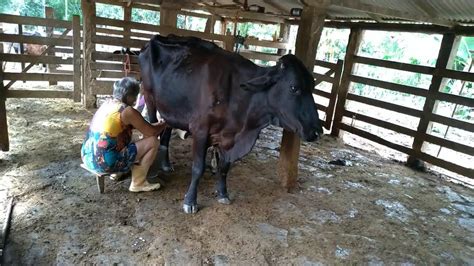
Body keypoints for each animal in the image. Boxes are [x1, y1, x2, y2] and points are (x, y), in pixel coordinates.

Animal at [137, 34, 322, 214]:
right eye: (294, 88)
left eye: (312, 86)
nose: (318, 131)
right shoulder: (200, 129)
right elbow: (198, 168)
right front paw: (190, 201)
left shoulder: (229, 137)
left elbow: (224, 167)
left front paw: (223, 194)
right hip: (149, 97)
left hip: (170, 108)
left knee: (167, 129)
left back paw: (166, 164)